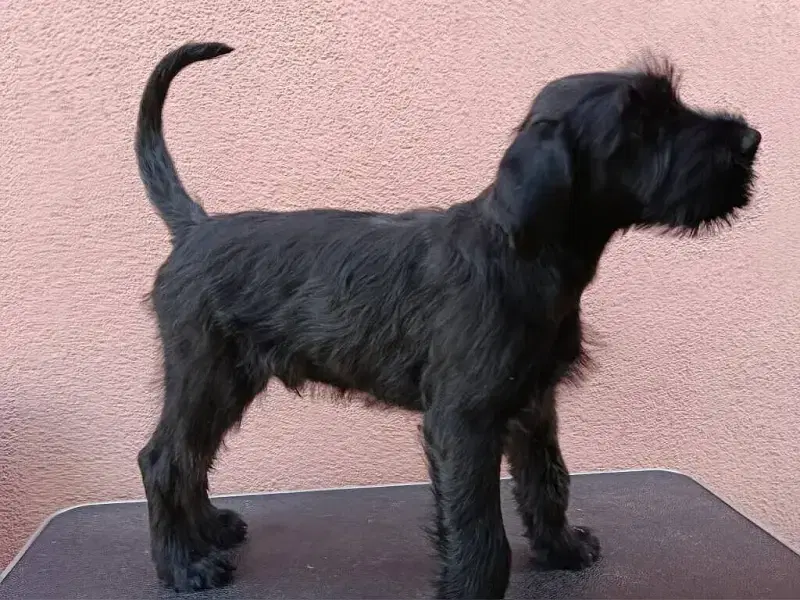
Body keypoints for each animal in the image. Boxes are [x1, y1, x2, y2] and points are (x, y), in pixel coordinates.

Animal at [135, 42, 760, 598]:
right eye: (643, 126)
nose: (751, 140)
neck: (522, 253)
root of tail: (194, 228)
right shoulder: (464, 421)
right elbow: (480, 532)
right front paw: (474, 588)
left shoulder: (534, 404)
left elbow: (547, 481)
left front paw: (560, 549)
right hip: (208, 372)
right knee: (164, 460)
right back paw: (185, 565)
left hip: (229, 381)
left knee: (193, 457)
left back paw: (209, 531)